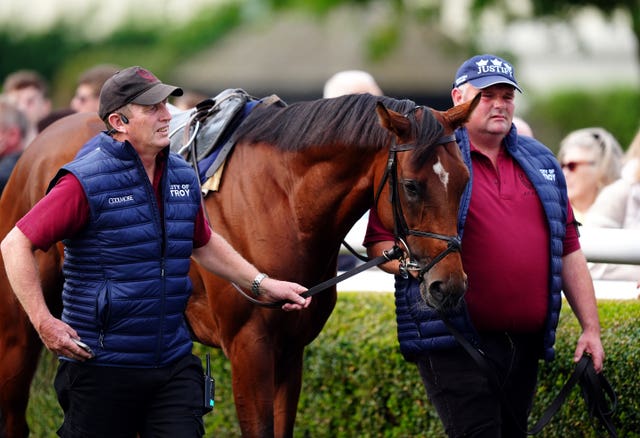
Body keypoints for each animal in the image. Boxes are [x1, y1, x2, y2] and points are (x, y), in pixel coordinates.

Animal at [0, 91, 478, 434]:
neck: (285, 200)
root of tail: (35, 150)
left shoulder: (290, 350)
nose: (449, 285)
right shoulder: (250, 348)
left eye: (464, 180)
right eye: (412, 186)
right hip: (20, 330)